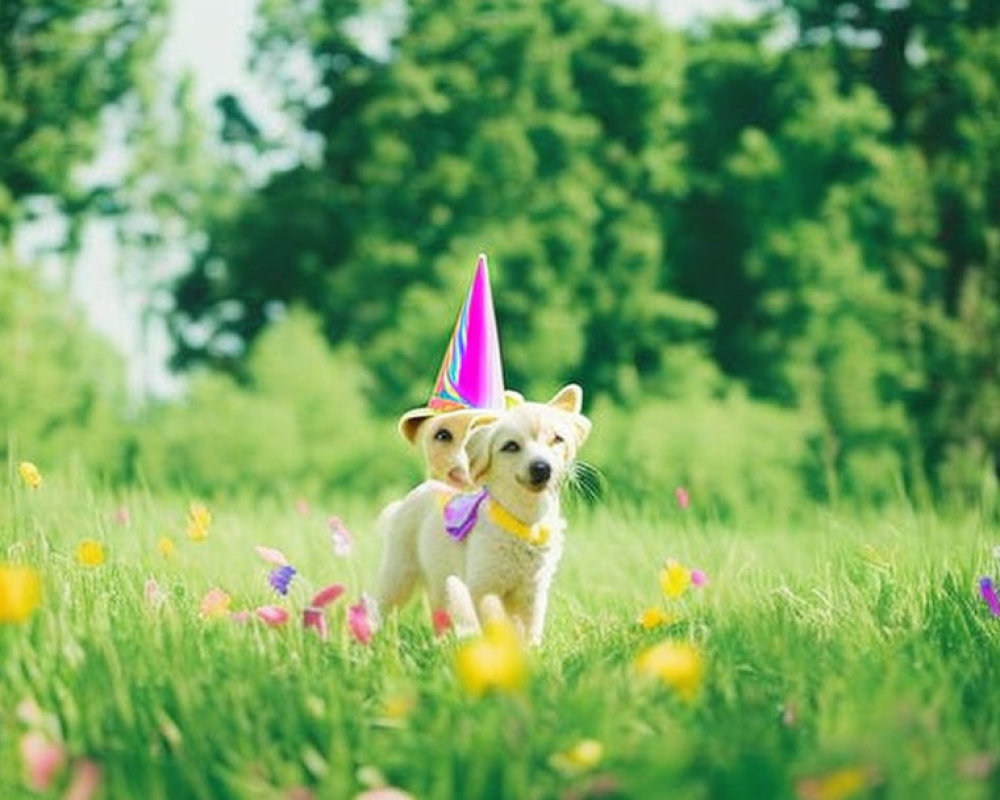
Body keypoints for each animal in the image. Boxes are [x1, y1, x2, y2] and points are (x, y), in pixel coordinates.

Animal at [372, 382, 588, 644]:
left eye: (557, 439)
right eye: (511, 446)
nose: (542, 468)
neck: (523, 521)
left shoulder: (533, 590)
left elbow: (529, 630)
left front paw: (530, 651)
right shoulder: (484, 586)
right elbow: (495, 623)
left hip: (440, 576)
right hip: (399, 570)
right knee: (379, 604)